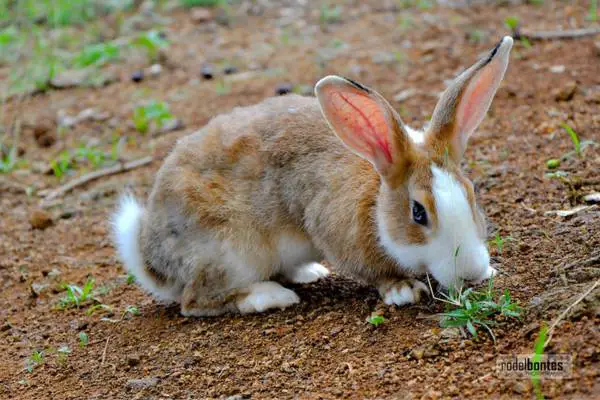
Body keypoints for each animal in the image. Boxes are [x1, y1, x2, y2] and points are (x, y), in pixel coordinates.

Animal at [115, 36, 512, 316]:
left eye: (472, 195)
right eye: (418, 213)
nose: (472, 272)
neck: (376, 200)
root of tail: (152, 258)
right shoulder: (335, 229)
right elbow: (373, 271)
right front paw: (403, 289)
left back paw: (308, 273)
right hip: (231, 253)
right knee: (196, 300)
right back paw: (270, 296)